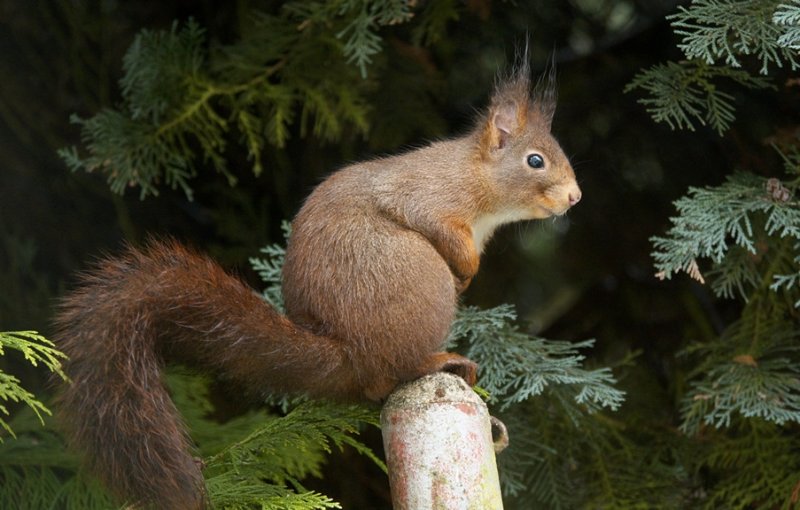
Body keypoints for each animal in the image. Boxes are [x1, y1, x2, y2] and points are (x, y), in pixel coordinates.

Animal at [54, 57, 580, 508]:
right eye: (536, 161)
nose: (575, 197)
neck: (479, 185)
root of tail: (346, 353)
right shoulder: (428, 195)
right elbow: (436, 224)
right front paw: (467, 265)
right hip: (417, 277)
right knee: (388, 374)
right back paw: (436, 359)